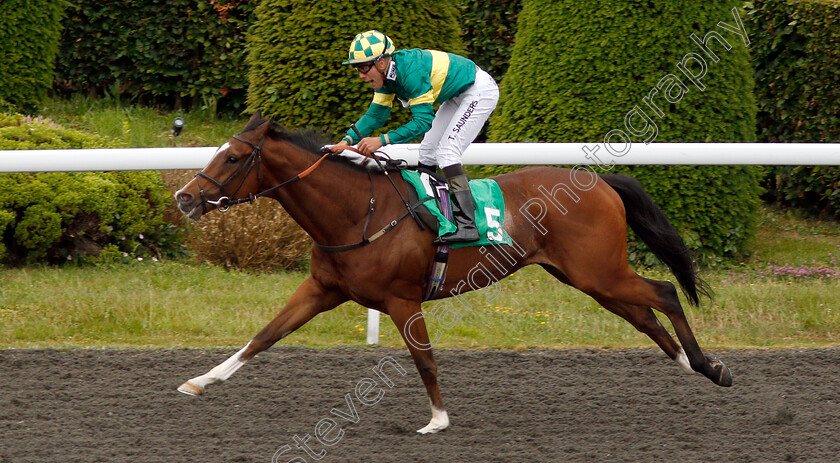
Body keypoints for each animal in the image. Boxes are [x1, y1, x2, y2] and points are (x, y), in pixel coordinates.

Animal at [174, 111, 732, 436]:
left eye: (234, 157)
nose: (183, 197)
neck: (358, 213)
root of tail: (601, 182)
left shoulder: (402, 300)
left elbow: (424, 360)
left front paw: (438, 420)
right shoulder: (322, 289)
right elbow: (263, 337)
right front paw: (199, 381)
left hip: (601, 272)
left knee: (665, 292)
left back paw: (710, 366)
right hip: (588, 278)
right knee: (644, 315)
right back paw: (691, 365)